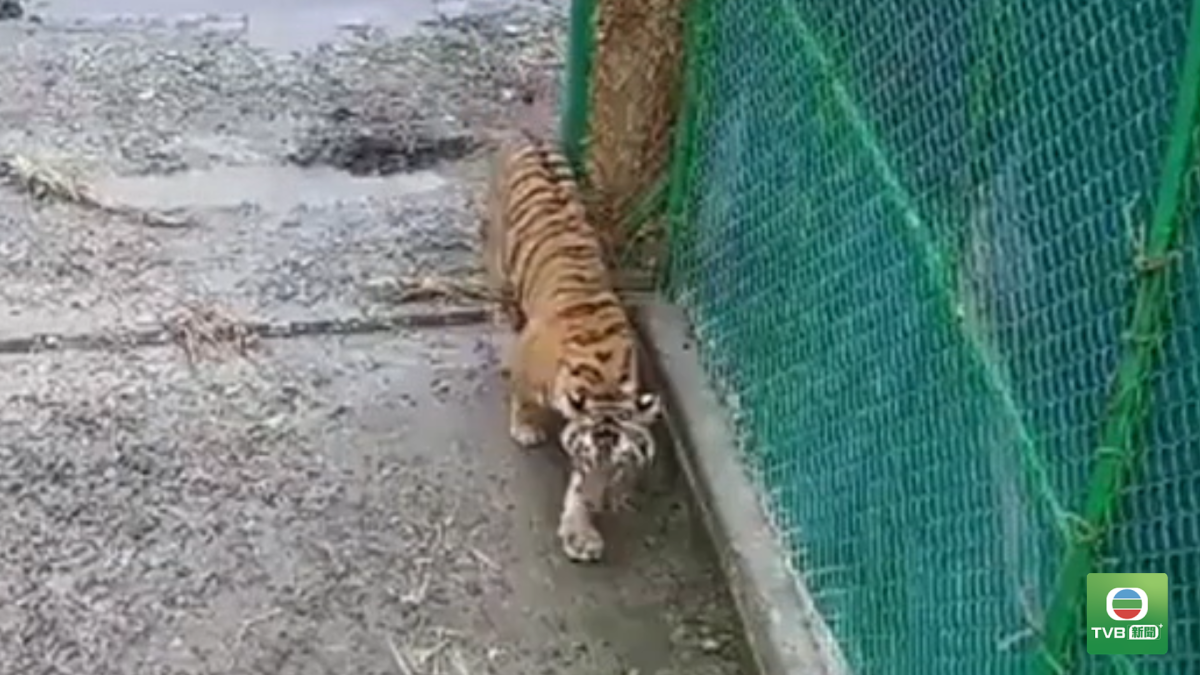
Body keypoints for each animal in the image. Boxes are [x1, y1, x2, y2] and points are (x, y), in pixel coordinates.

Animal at [481, 127, 662, 563]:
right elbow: (523, 398)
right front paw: (525, 428)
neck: (605, 381)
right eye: (587, 457)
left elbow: (576, 490)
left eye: (620, 464)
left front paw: (580, 529)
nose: (602, 504)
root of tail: (522, 133)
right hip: (501, 273)